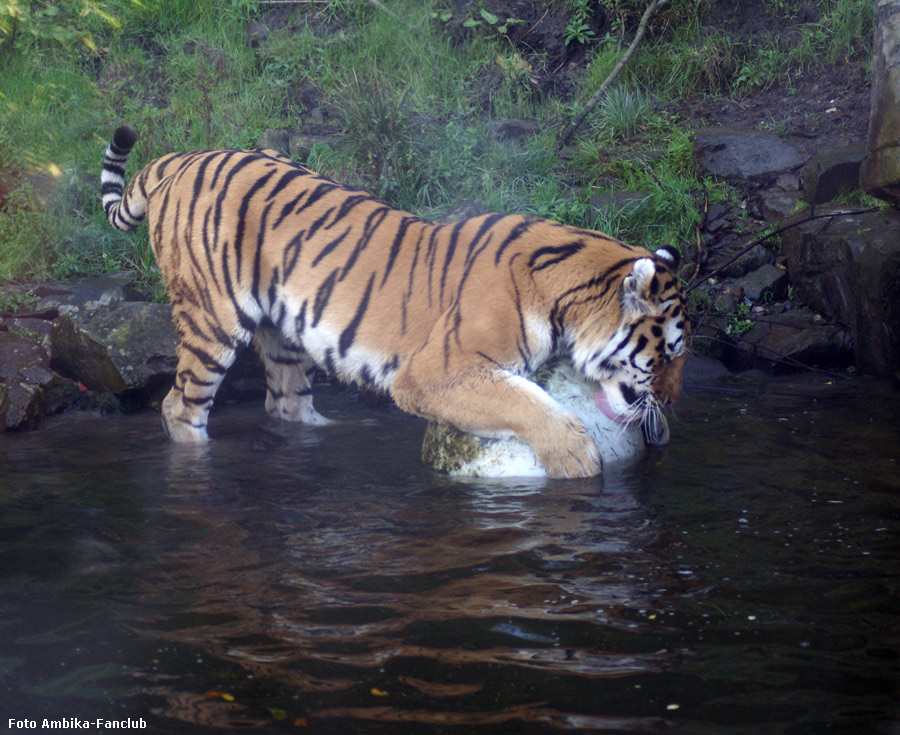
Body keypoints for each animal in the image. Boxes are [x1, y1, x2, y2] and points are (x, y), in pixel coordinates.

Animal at [100, 125, 688, 484]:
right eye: (667, 354)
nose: (672, 402)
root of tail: (183, 155)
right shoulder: (435, 372)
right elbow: (522, 402)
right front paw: (576, 458)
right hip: (212, 319)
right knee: (180, 407)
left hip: (283, 333)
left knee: (286, 402)